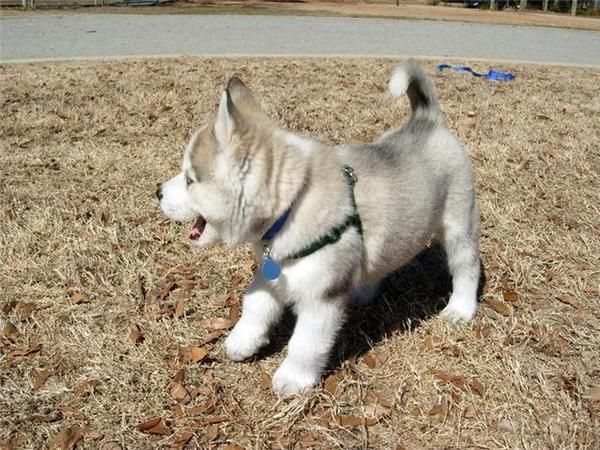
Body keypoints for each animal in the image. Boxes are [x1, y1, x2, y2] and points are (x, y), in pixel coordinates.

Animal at [157, 62, 480, 394]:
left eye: (189, 179)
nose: (158, 192)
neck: (293, 203)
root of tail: (427, 120)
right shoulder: (274, 270)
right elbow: (255, 305)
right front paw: (242, 340)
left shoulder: (321, 299)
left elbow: (305, 344)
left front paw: (292, 379)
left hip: (458, 228)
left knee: (466, 267)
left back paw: (460, 308)